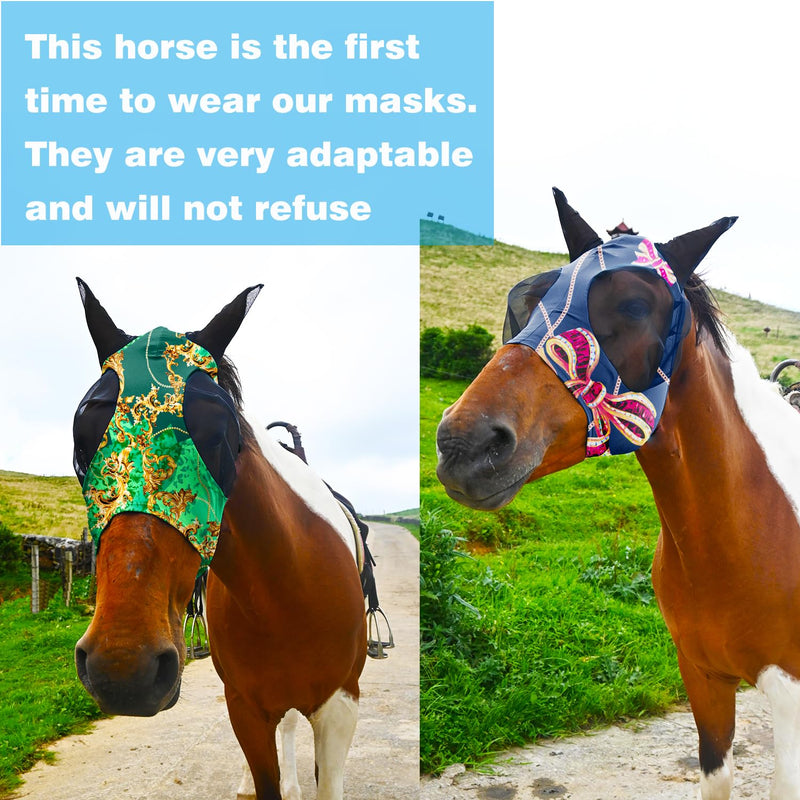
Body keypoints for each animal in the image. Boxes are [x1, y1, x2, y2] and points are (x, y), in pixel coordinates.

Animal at [71, 279, 367, 800]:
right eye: (81, 437)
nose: (123, 668)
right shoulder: (245, 708)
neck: (285, 592)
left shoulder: (339, 708)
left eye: (219, 432)